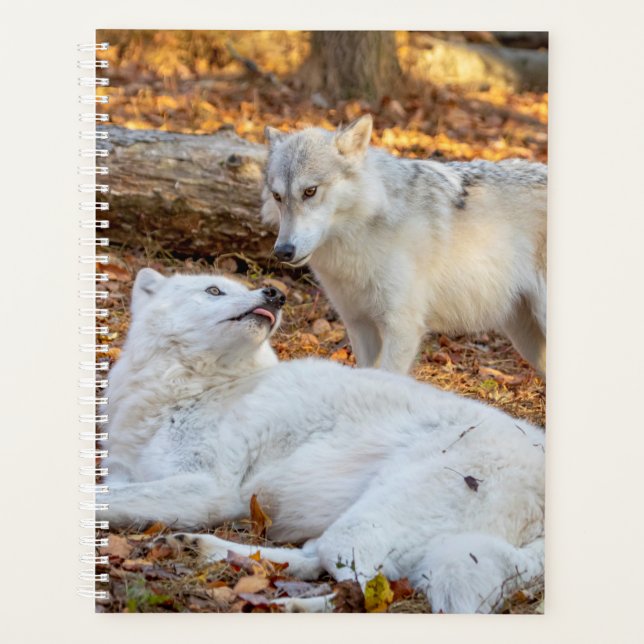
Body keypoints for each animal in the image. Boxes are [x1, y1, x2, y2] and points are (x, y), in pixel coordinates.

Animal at [102, 268, 545, 614]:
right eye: (214, 291)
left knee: (372, 591)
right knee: (315, 560)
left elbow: (106, 499)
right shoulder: (127, 474)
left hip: (365, 527)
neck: (195, 389)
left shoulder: (207, 488)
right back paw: (205, 549)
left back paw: (288, 605)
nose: (274, 293)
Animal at [261, 115, 547, 375]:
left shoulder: (401, 327)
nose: (283, 251)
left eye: (310, 191)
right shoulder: (359, 324)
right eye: (277, 196)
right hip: (526, 338)